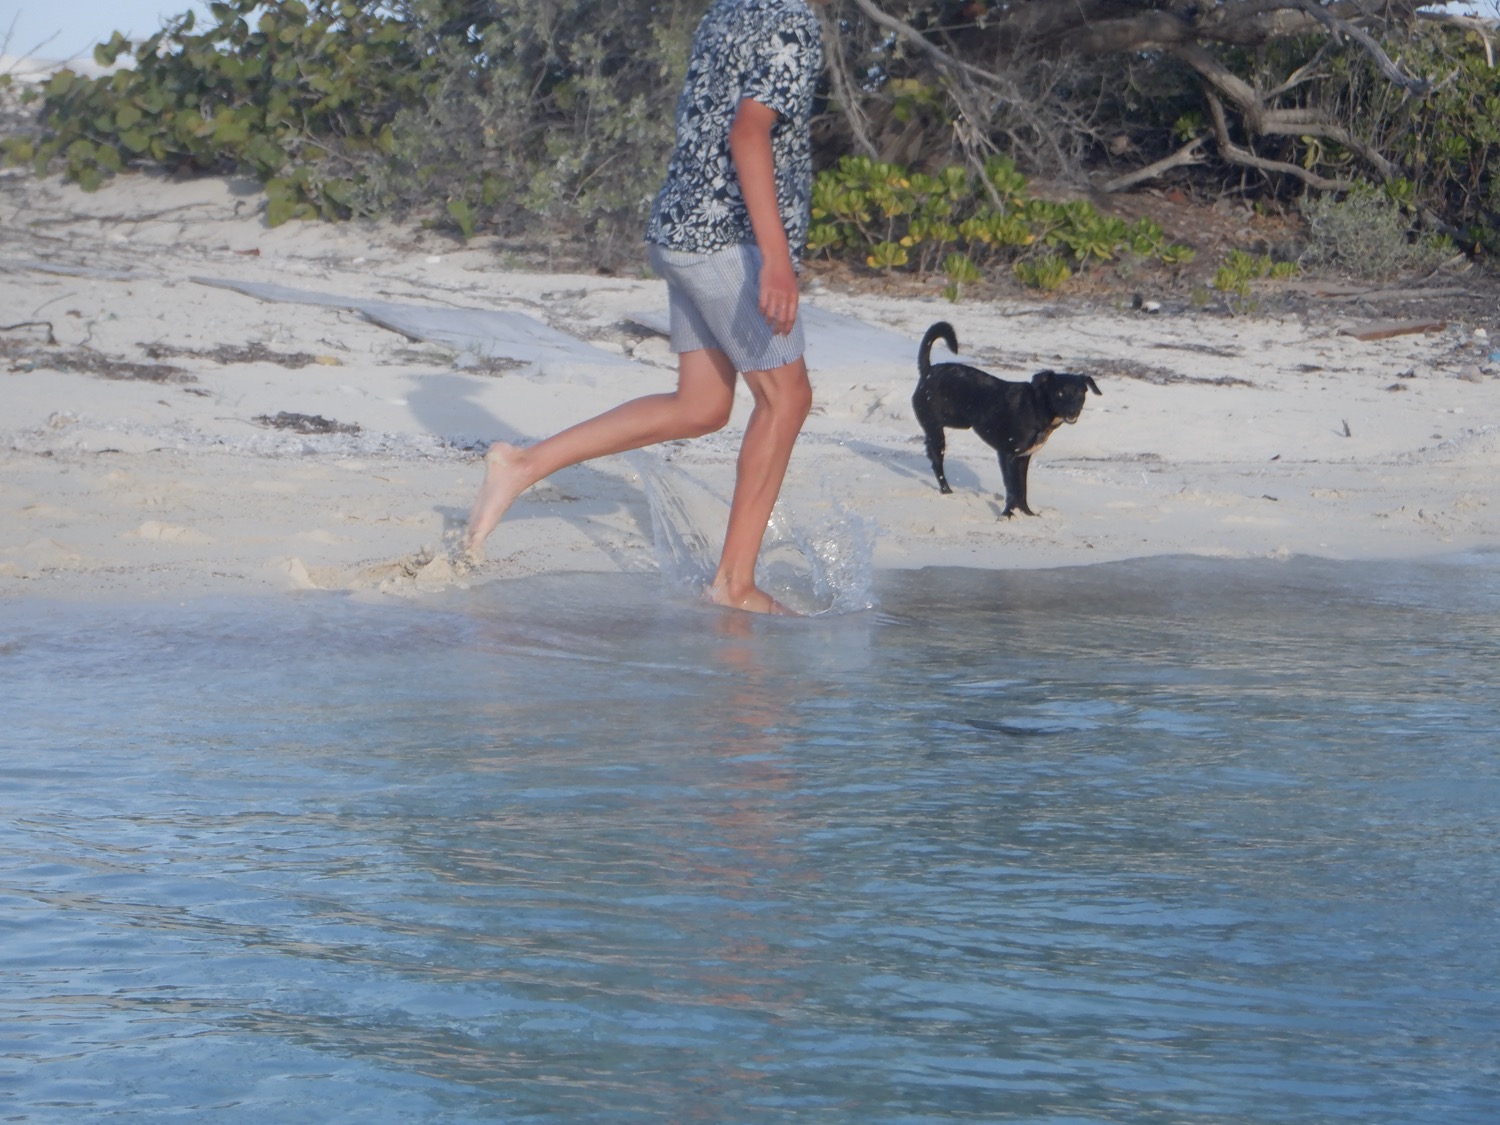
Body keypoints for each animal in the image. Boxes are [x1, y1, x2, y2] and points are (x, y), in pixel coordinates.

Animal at [912, 321, 1100, 518]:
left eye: (1080, 394)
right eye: (1059, 393)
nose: (1073, 412)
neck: (1037, 407)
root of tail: (928, 371)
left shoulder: (1023, 458)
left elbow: (1022, 489)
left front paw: (1027, 513)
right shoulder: (1007, 455)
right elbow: (1012, 488)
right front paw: (1007, 514)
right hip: (936, 429)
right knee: (937, 463)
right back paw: (947, 491)